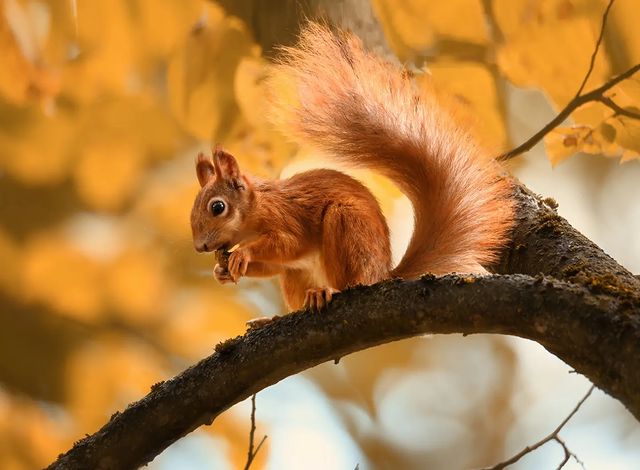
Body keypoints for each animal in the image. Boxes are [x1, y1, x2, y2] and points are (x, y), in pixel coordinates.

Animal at [190, 23, 514, 312]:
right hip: (298, 275)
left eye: (217, 207)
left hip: (346, 225)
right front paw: (224, 271)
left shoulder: (285, 216)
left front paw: (242, 254)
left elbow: (288, 244)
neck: (254, 210)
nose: (200, 247)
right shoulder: (284, 260)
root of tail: (382, 274)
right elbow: (272, 266)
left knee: (349, 282)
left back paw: (328, 291)